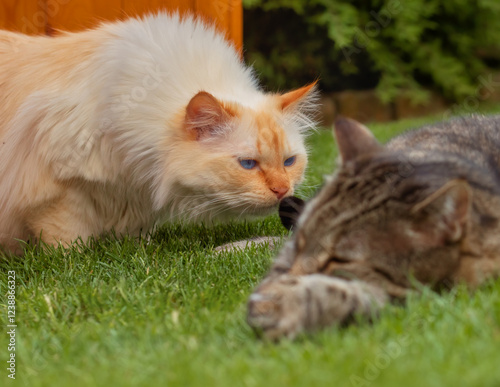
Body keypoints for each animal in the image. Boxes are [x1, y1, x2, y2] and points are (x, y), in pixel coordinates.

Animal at [0, 12, 318, 255]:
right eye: (248, 164)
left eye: (289, 162)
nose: (282, 191)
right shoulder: (57, 190)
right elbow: (66, 240)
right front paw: (73, 261)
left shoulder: (135, 193)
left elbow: (135, 235)